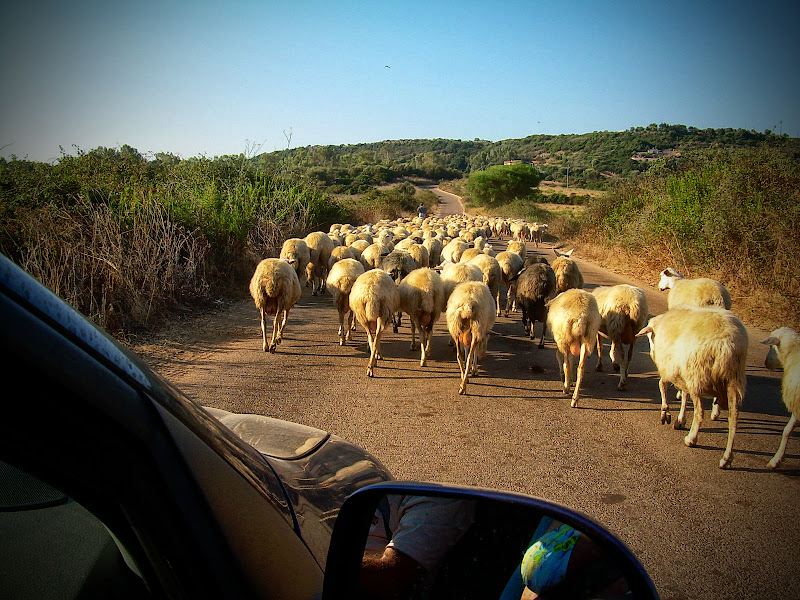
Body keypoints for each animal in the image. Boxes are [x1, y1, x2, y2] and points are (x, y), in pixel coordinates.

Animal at [636, 304, 748, 468]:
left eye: (651, 336)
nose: (651, 352)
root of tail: (726, 343)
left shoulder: (668, 366)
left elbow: (662, 385)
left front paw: (666, 412)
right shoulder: (682, 372)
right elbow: (684, 395)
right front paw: (680, 420)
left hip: (697, 375)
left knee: (699, 412)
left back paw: (691, 439)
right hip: (733, 379)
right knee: (733, 419)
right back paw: (727, 458)